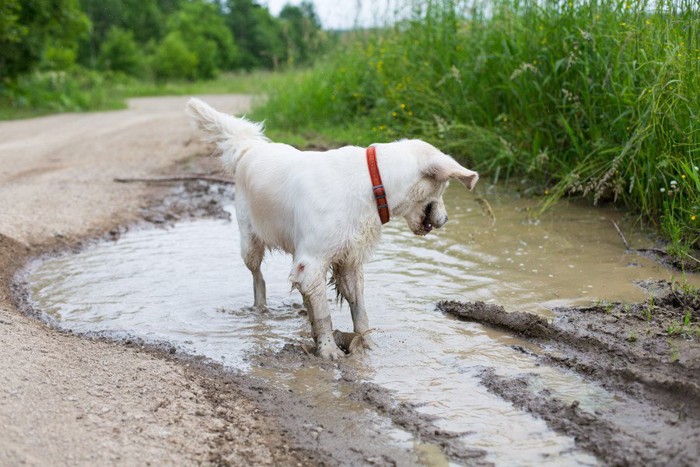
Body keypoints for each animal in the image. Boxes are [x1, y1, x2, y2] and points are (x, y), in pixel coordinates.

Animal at [189, 98, 478, 360]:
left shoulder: (348, 258)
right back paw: (261, 310)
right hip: (250, 241)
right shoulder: (312, 261)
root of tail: (251, 147)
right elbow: (324, 315)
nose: (445, 219)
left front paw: (367, 345)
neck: (372, 182)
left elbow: (359, 309)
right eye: (444, 188)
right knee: (258, 277)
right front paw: (328, 351)